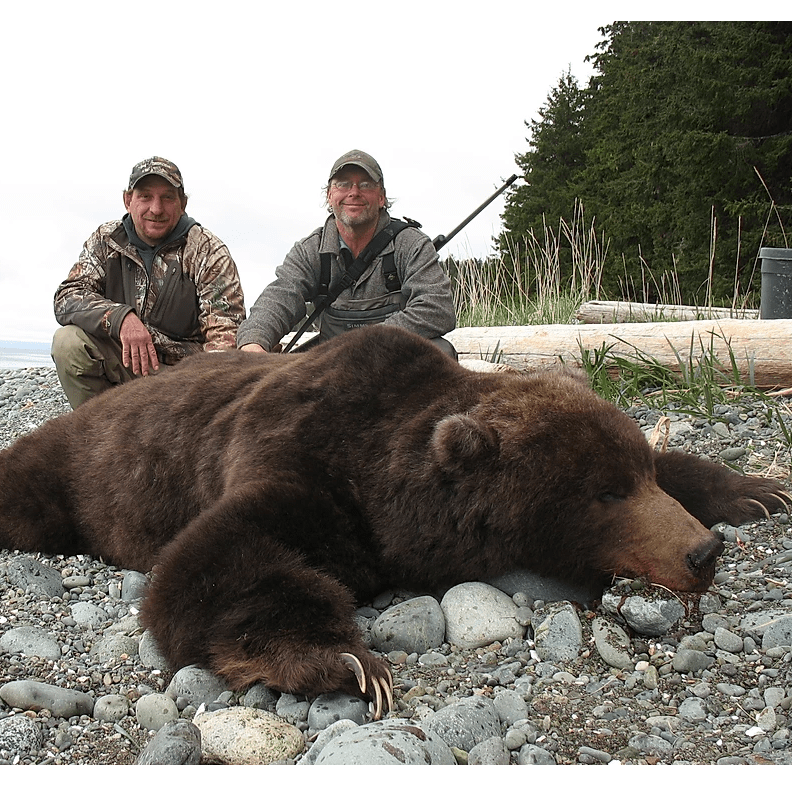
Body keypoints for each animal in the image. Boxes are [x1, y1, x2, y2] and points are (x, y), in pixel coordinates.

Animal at [0, 325, 789, 718]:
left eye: (637, 476)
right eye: (603, 494)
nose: (701, 553)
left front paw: (756, 491)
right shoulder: (299, 460)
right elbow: (202, 571)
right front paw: (345, 660)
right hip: (64, 473)